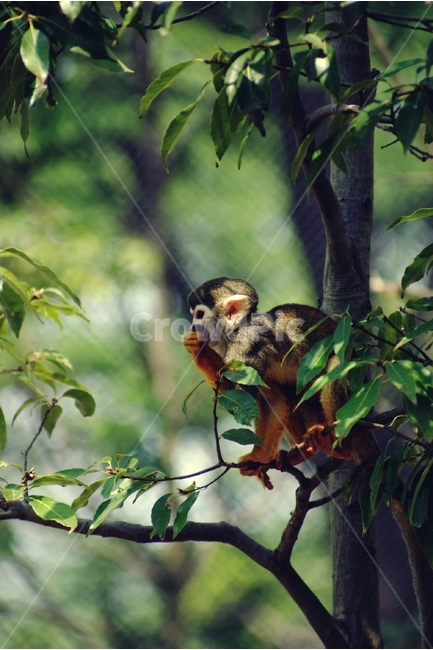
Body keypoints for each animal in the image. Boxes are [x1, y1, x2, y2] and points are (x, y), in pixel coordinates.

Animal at [182, 277, 375, 487]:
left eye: (199, 315)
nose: (193, 327)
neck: (238, 328)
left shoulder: (250, 342)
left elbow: (238, 390)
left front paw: (198, 347)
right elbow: (272, 401)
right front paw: (260, 457)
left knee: (337, 365)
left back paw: (340, 444)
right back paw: (303, 451)